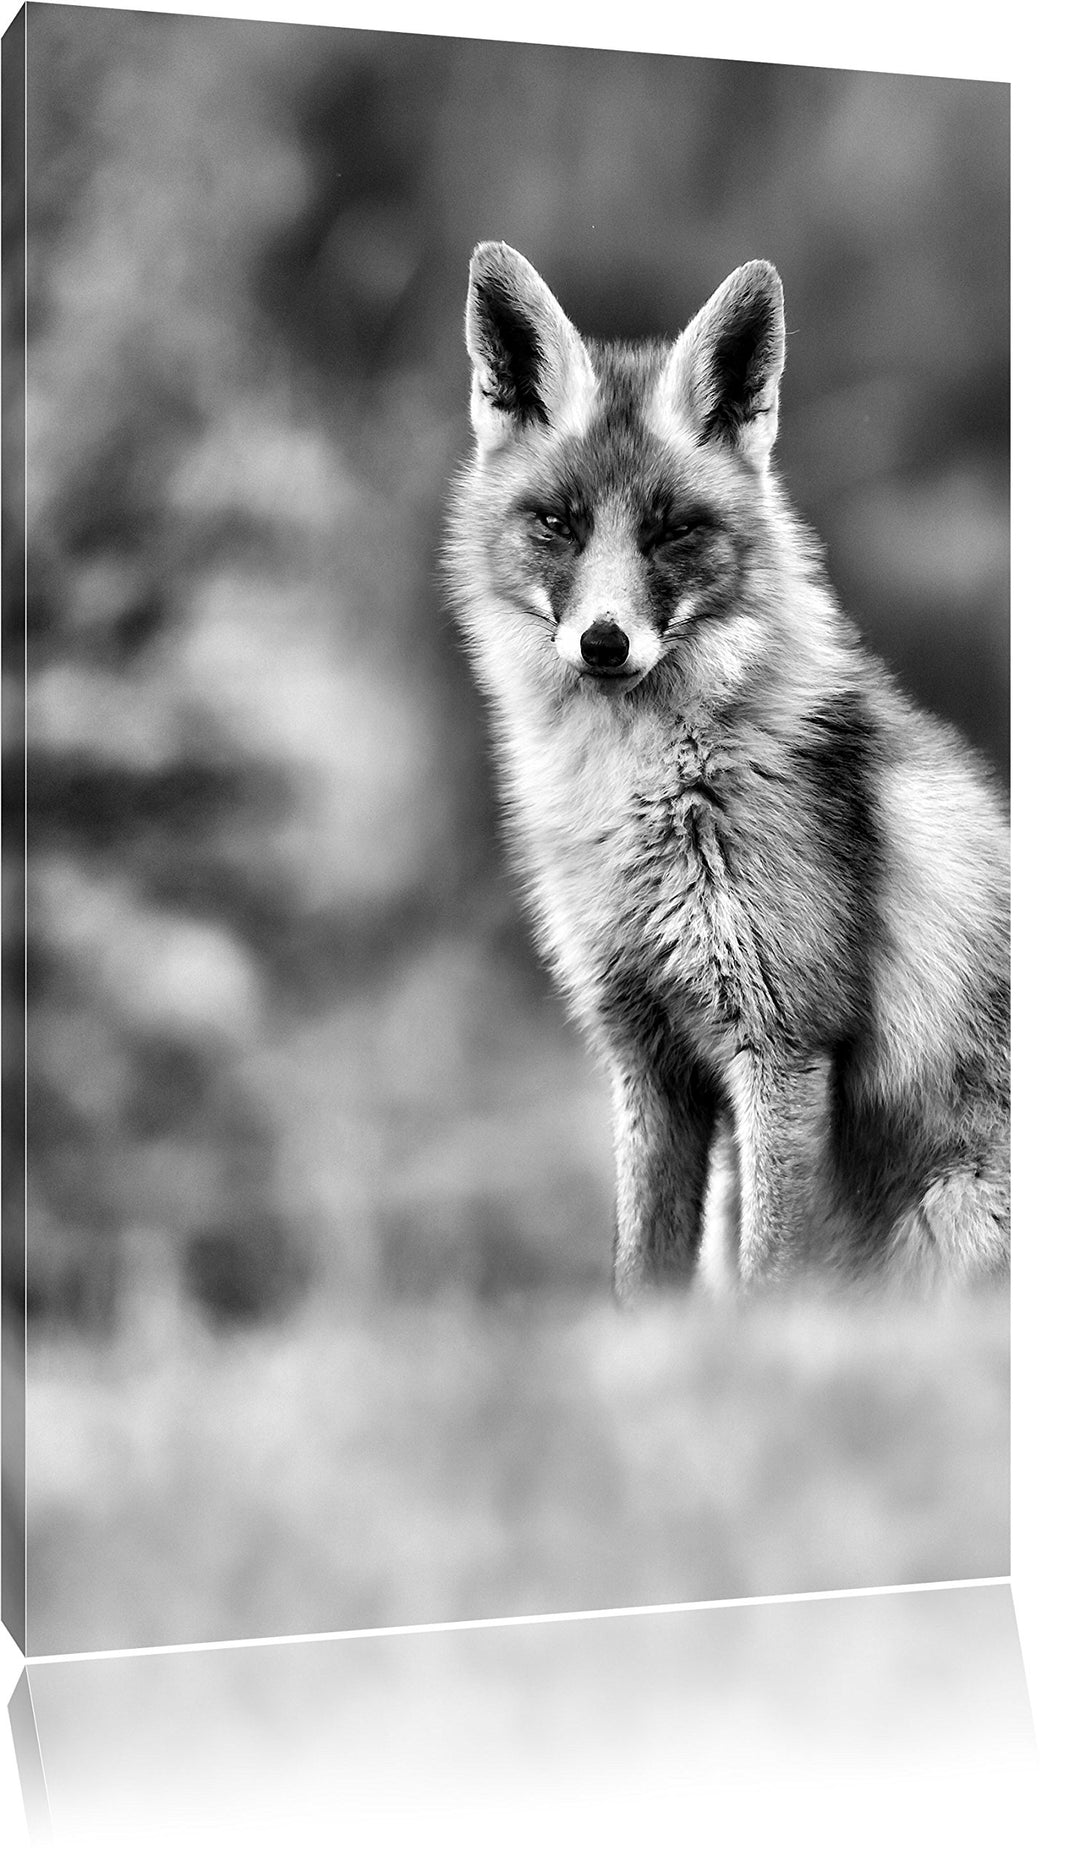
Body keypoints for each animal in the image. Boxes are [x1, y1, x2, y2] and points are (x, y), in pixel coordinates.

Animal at [446, 241, 1009, 1299]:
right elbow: (642, 1277)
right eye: (561, 524)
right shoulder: (644, 1052)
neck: (644, 802)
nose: (605, 642)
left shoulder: (782, 1047)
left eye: (671, 530)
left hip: (951, 1219)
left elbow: (768, 1282)